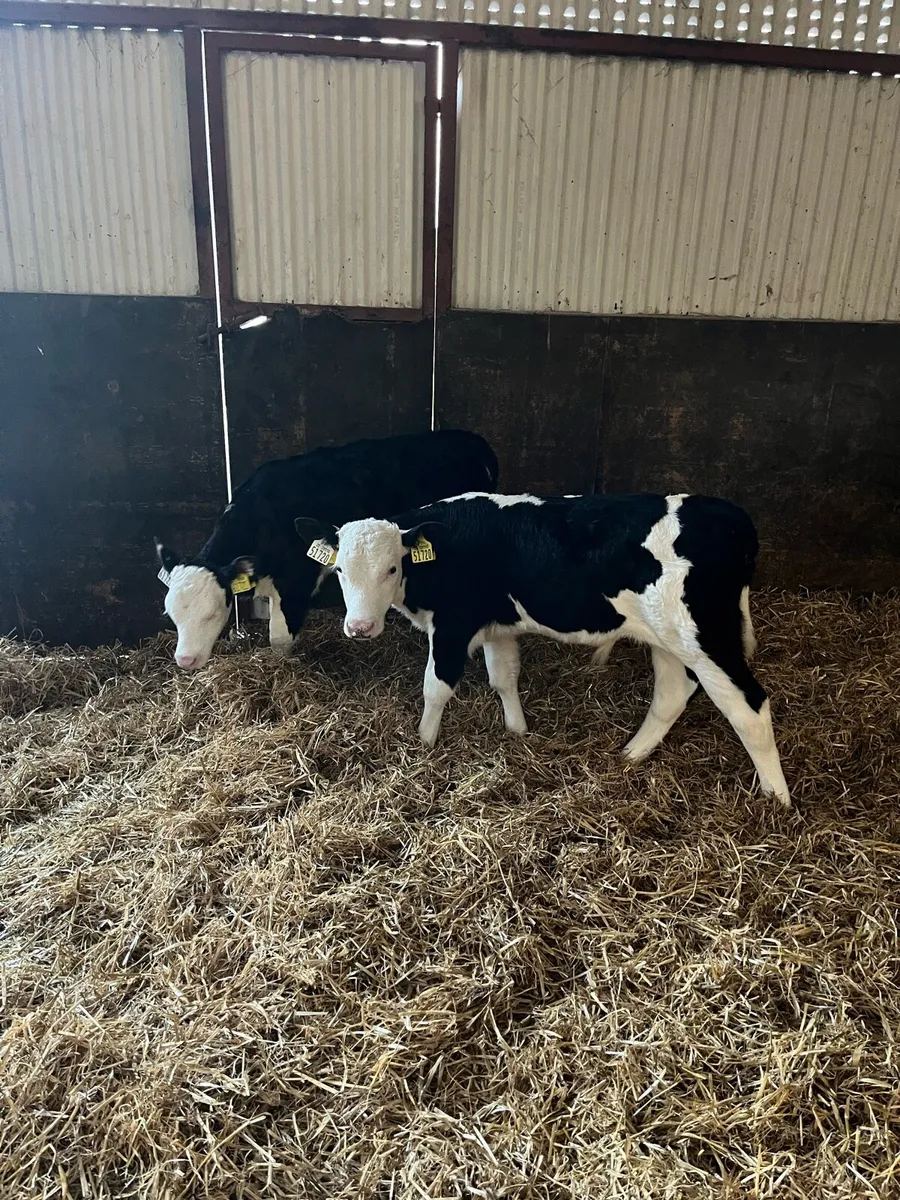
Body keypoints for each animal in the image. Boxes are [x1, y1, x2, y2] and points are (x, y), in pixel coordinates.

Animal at [155, 431, 498, 671]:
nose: (185, 660)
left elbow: (280, 637)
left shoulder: (296, 579)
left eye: (213, 613)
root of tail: (472, 439)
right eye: (171, 613)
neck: (263, 516)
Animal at [294, 491, 791, 806]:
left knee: (749, 707)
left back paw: (776, 798)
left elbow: (436, 688)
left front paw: (424, 744)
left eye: (392, 568)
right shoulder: (498, 627)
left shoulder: (453, 624)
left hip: (706, 638)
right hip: (668, 639)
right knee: (671, 695)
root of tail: (735, 519)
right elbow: (504, 677)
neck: (449, 546)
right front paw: (517, 731)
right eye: (339, 570)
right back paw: (631, 755)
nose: (359, 628)